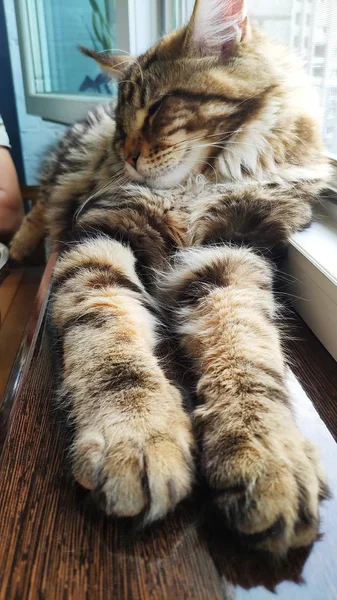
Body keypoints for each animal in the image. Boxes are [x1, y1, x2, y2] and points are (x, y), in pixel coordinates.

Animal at [10, 0, 328, 556]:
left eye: (158, 109)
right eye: (121, 127)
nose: (127, 154)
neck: (199, 184)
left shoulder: (231, 250)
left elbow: (247, 353)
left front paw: (266, 452)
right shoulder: (99, 236)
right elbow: (111, 344)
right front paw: (137, 434)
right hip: (61, 183)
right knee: (41, 206)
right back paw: (16, 248)